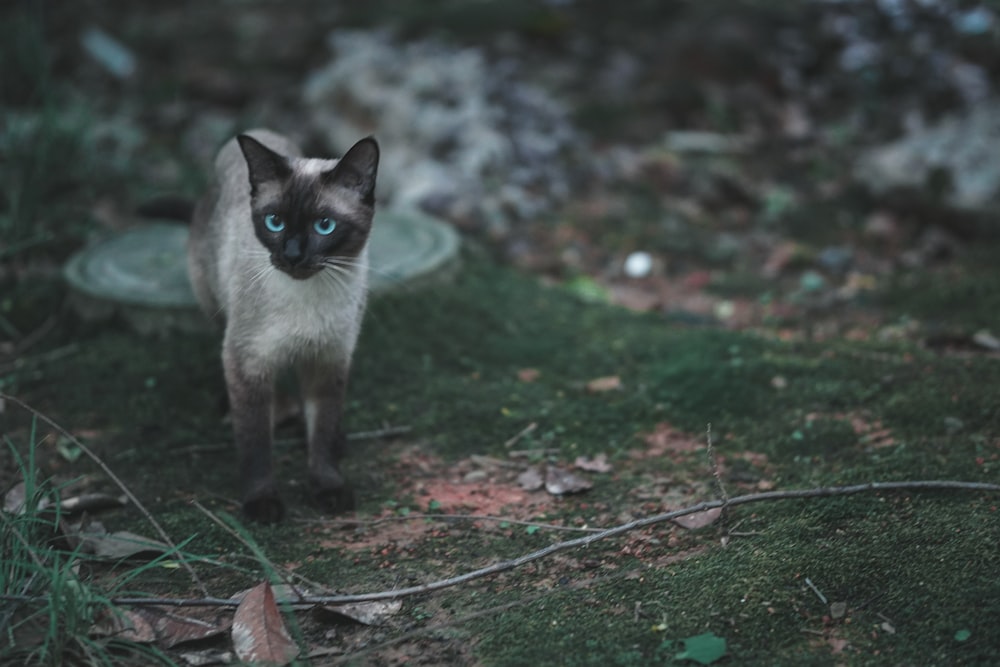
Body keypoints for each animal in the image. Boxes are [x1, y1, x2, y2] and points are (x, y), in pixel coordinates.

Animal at [188, 130, 378, 524]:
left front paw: (328, 488)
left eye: (325, 225)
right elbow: (256, 443)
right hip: (214, 304)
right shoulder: (248, 362)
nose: (292, 256)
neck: (309, 298)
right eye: (274, 222)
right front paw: (262, 504)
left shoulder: (328, 361)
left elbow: (322, 432)